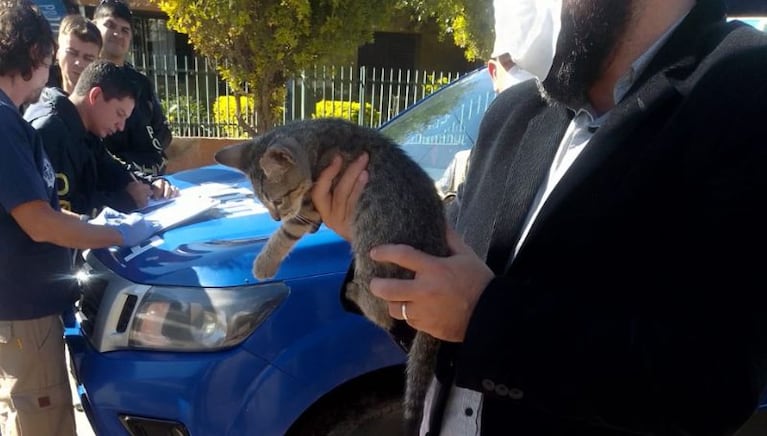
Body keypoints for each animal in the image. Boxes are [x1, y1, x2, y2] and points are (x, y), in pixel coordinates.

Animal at [213, 116, 448, 432]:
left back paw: (354, 292)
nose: (274, 216)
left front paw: (264, 263)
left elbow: (287, 232)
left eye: (278, 200)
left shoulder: (311, 202)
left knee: (384, 312)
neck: (317, 140)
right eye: (264, 202)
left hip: (372, 252)